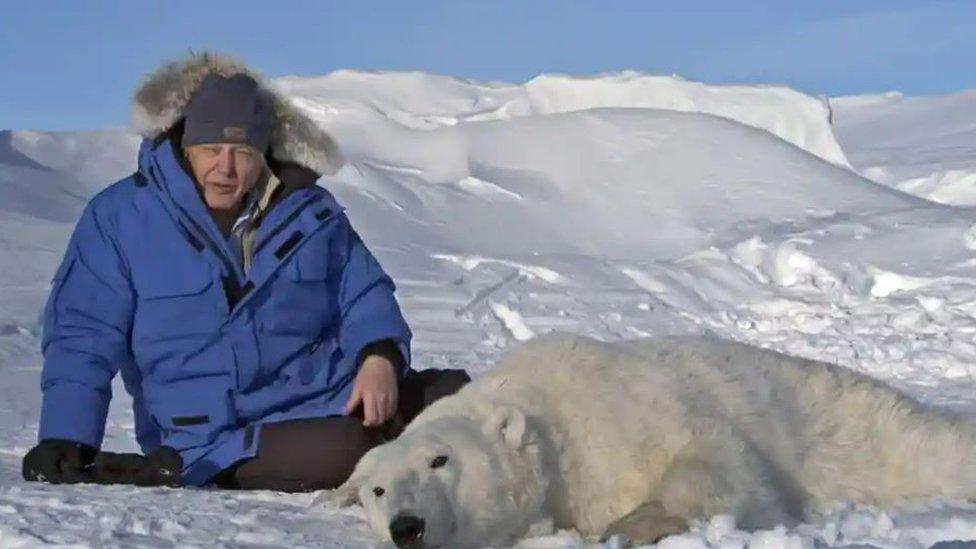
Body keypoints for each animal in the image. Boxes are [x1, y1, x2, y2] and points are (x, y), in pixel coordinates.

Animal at [314, 332, 976, 544]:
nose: (407, 528)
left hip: (863, 426)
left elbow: (717, 457)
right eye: (376, 490)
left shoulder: (620, 411)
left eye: (440, 460)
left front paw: (629, 524)